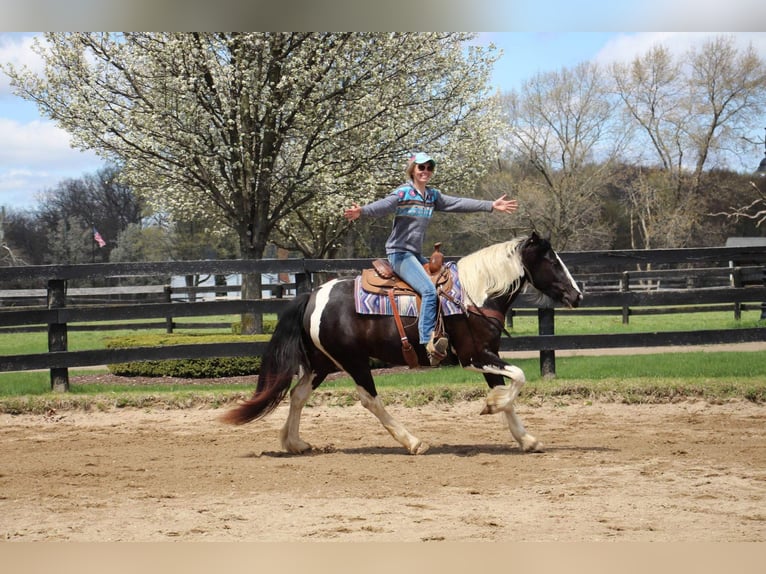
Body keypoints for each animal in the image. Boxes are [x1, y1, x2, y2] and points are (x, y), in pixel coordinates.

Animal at [225, 233, 584, 454]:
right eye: (552, 261)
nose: (577, 296)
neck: (473, 294)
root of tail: (313, 295)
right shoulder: (474, 356)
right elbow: (518, 378)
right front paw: (491, 407)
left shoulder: (488, 356)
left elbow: (508, 394)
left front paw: (526, 439)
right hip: (353, 362)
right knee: (370, 400)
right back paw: (413, 442)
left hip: (323, 363)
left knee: (298, 395)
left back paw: (294, 443)